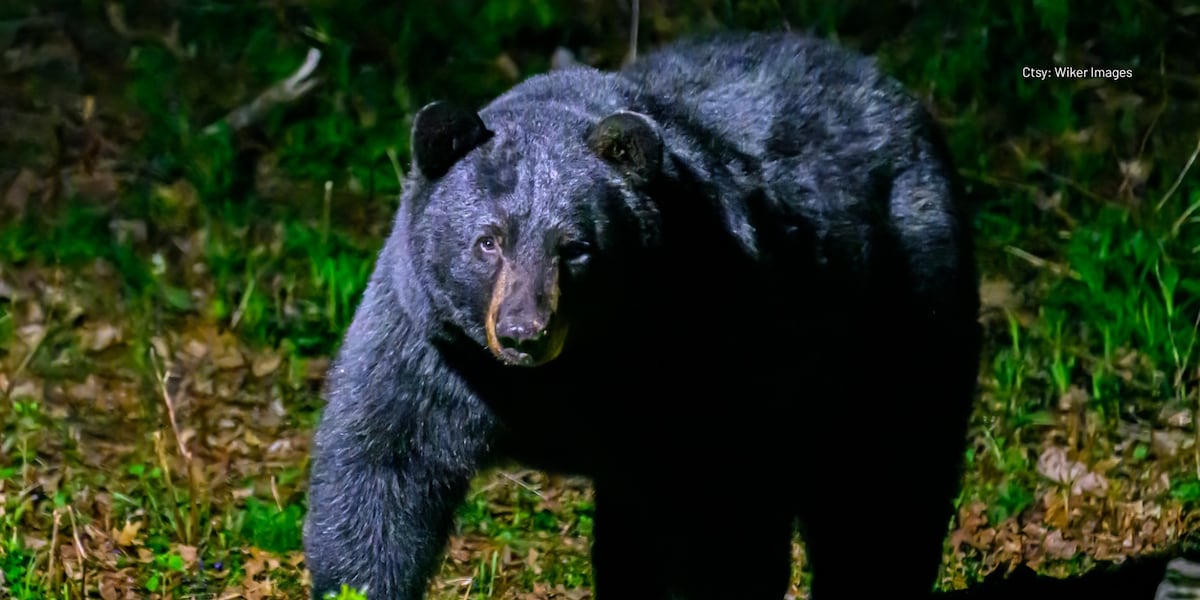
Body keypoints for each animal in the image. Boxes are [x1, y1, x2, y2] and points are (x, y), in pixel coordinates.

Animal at [302, 30, 1188, 600]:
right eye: (488, 240)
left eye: (575, 248)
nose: (524, 333)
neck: (571, 378)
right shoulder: (432, 346)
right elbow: (377, 477)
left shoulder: (707, 331)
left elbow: (725, 512)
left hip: (905, 300)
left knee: (885, 478)